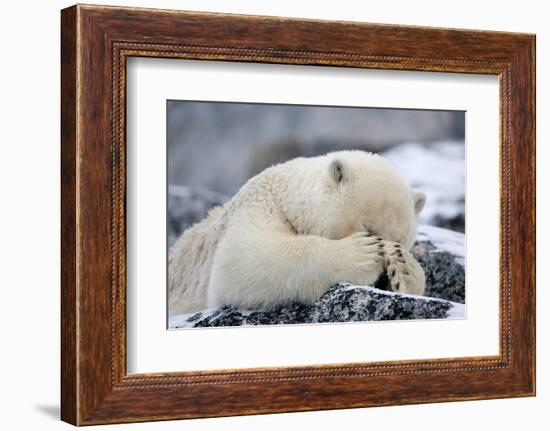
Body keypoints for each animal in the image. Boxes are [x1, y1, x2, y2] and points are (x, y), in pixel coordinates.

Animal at [170, 152, 430, 318]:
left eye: (400, 239)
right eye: (368, 228)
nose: (383, 278)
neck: (285, 194)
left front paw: (404, 268)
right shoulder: (258, 206)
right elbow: (241, 260)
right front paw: (362, 254)